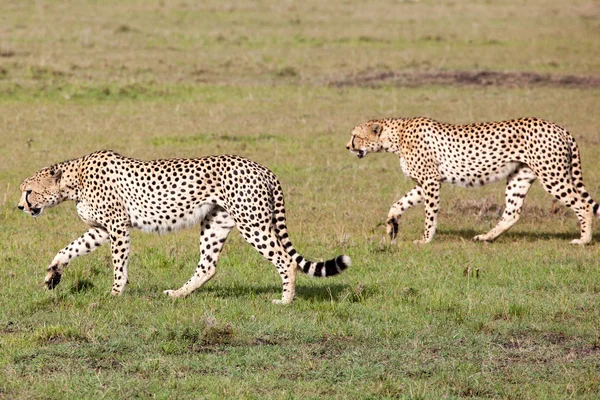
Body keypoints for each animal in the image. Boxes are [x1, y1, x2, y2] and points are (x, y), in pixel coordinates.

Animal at [18, 150, 350, 304]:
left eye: (28, 191)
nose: (20, 207)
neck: (73, 180)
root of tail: (262, 167)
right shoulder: (100, 229)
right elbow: (68, 249)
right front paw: (52, 275)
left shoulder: (118, 227)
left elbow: (118, 265)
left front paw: (115, 293)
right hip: (215, 223)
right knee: (208, 266)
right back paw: (178, 294)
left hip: (251, 222)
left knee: (285, 260)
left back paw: (285, 299)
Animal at [346, 116, 600, 244]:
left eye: (355, 136)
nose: (347, 146)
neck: (396, 136)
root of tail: (559, 127)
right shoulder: (424, 183)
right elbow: (397, 204)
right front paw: (392, 228)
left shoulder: (430, 181)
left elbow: (430, 214)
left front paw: (426, 239)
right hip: (519, 177)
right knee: (512, 213)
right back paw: (485, 237)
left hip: (552, 176)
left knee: (583, 205)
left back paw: (583, 240)